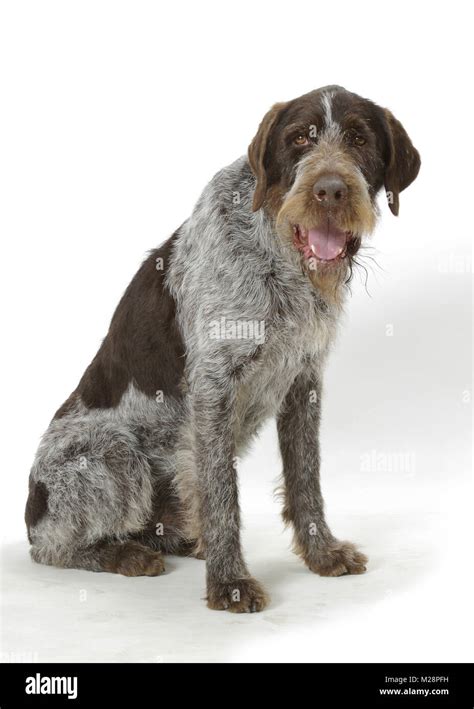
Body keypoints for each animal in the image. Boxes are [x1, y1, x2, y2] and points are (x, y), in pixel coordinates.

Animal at [25, 87, 420, 608]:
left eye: (359, 138)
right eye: (299, 139)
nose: (330, 191)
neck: (281, 259)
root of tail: (31, 512)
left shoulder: (304, 379)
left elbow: (306, 477)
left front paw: (321, 553)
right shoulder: (214, 385)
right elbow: (222, 492)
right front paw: (229, 582)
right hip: (110, 456)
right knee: (53, 549)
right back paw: (123, 554)